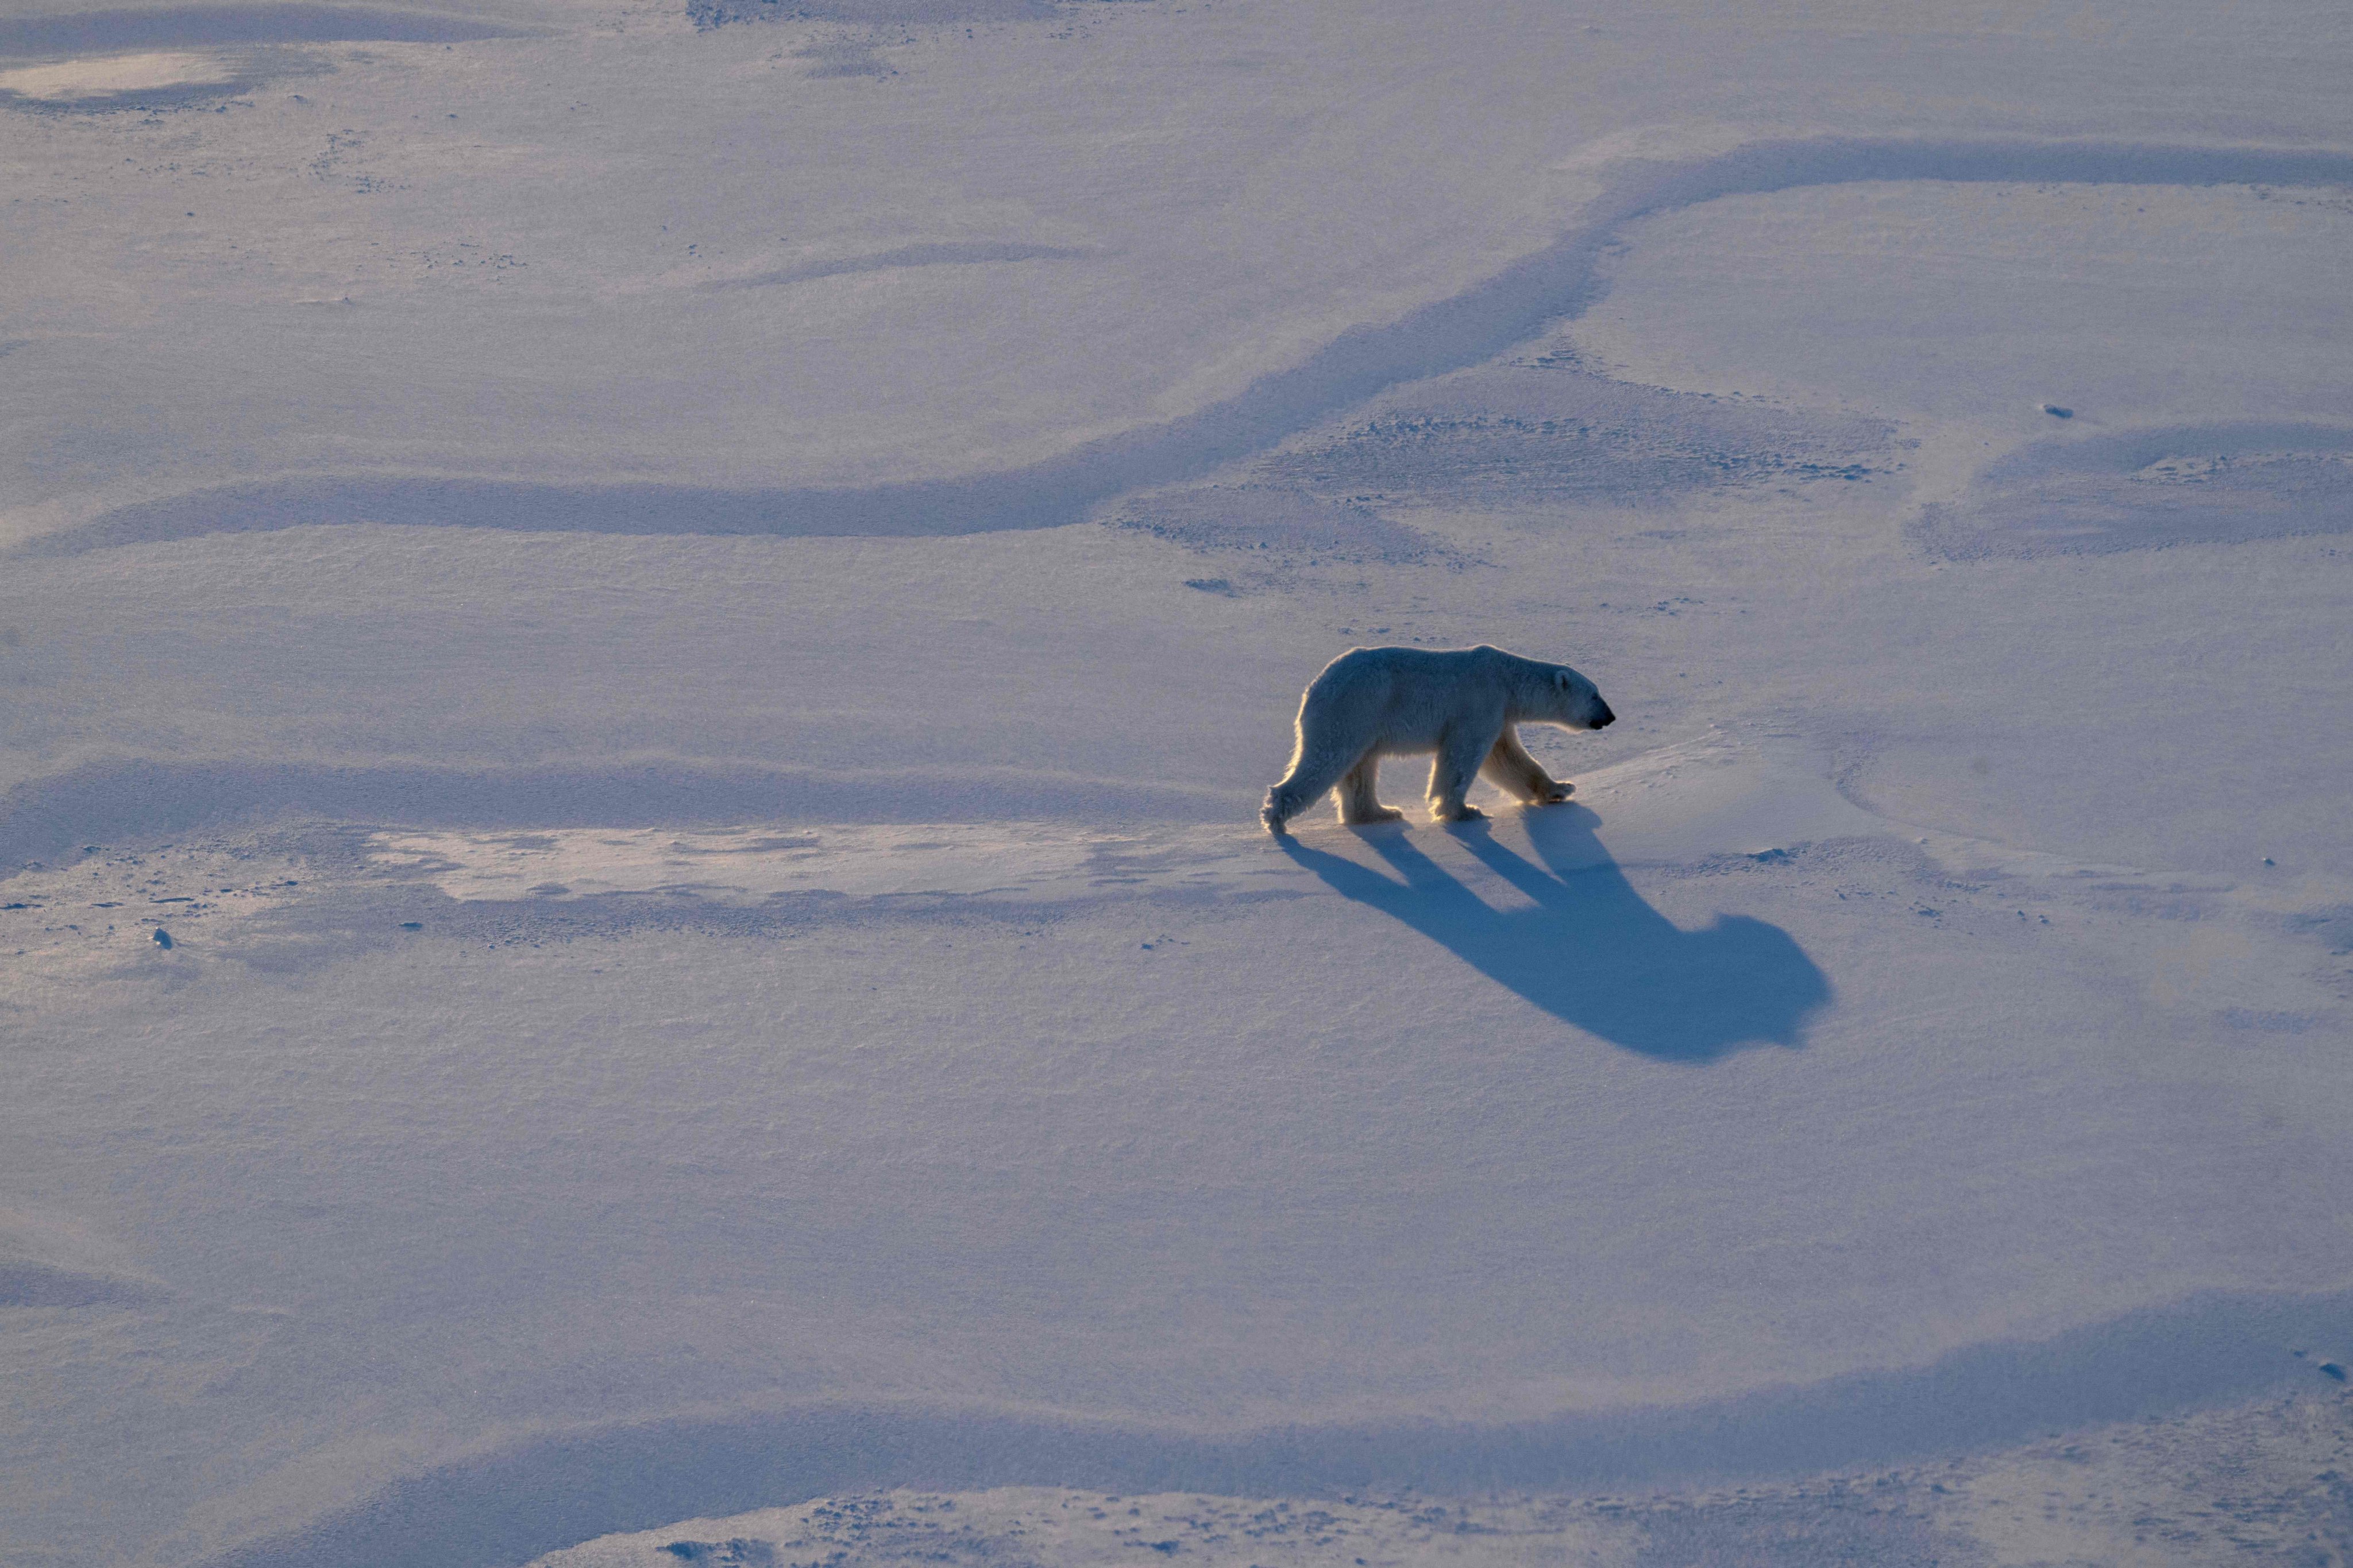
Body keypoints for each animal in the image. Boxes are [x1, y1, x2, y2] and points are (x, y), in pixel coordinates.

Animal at [1261, 644, 1615, 834]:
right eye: (1595, 695)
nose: (1611, 717)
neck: (1505, 678)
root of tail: (1314, 688)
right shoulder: (1478, 704)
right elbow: (1462, 757)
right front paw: (1464, 811)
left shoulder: (1499, 714)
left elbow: (1507, 759)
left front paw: (1559, 790)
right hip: (1352, 710)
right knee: (1326, 760)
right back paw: (1276, 819)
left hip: (1363, 722)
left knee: (1360, 769)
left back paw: (1380, 813)